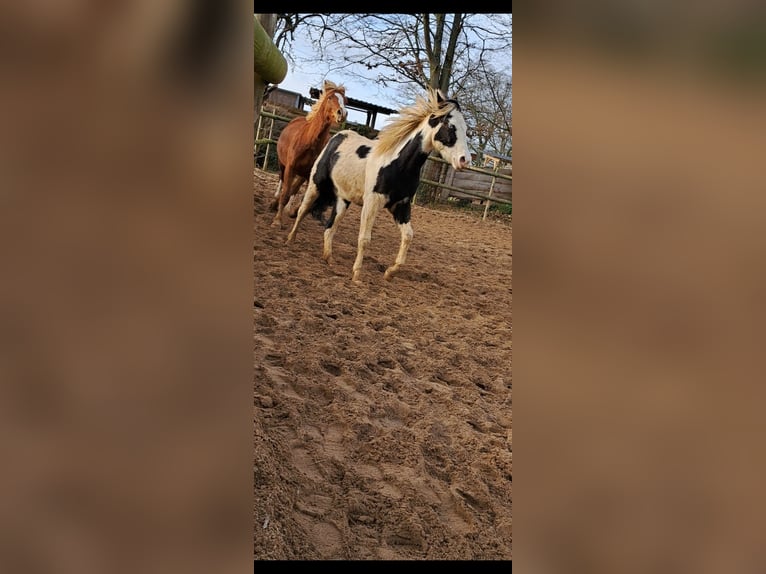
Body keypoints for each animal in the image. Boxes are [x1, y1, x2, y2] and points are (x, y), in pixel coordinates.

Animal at [269, 79, 348, 228]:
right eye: (330, 97)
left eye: (345, 100)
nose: (342, 113)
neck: (309, 141)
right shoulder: (290, 167)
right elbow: (286, 193)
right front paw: (277, 220)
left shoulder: (311, 174)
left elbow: (300, 196)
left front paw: (292, 211)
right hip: (282, 164)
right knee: (282, 180)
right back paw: (275, 200)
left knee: (294, 188)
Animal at [286, 87, 471, 282]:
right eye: (450, 126)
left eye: (465, 128)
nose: (465, 160)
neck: (398, 164)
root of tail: (337, 137)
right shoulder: (372, 203)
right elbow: (364, 238)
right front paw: (357, 274)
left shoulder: (401, 206)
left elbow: (408, 236)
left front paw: (390, 272)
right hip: (315, 184)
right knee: (303, 210)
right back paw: (290, 239)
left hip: (343, 199)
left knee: (330, 227)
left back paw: (329, 259)